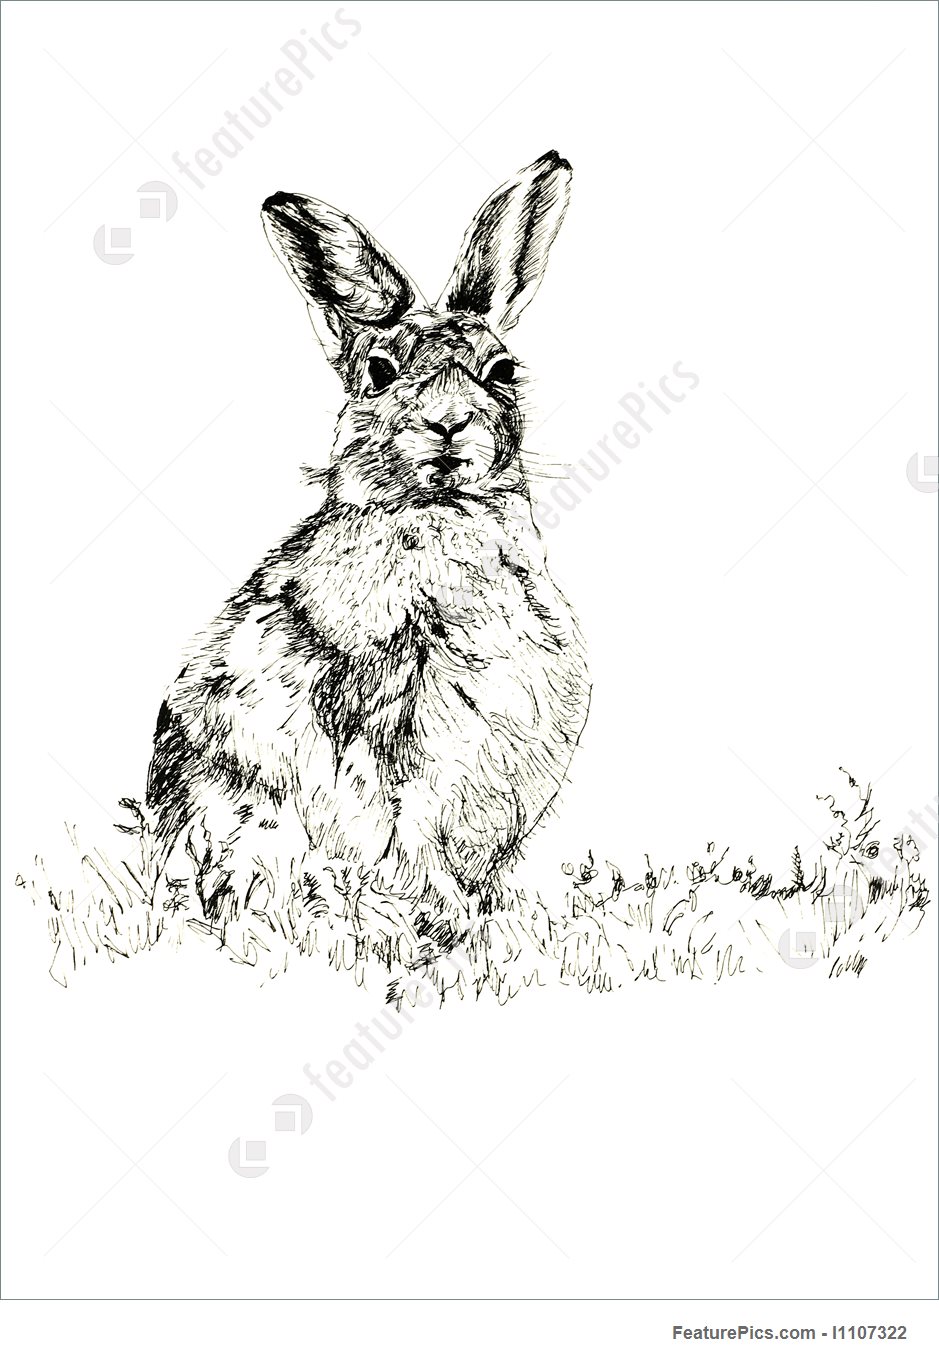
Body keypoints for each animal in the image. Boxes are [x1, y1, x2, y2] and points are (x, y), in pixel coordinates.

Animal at [145, 150, 590, 964]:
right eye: (379, 372)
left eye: (502, 371)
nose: (449, 425)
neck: (435, 514)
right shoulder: (387, 749)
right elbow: (400, 845)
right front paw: (434, 933)